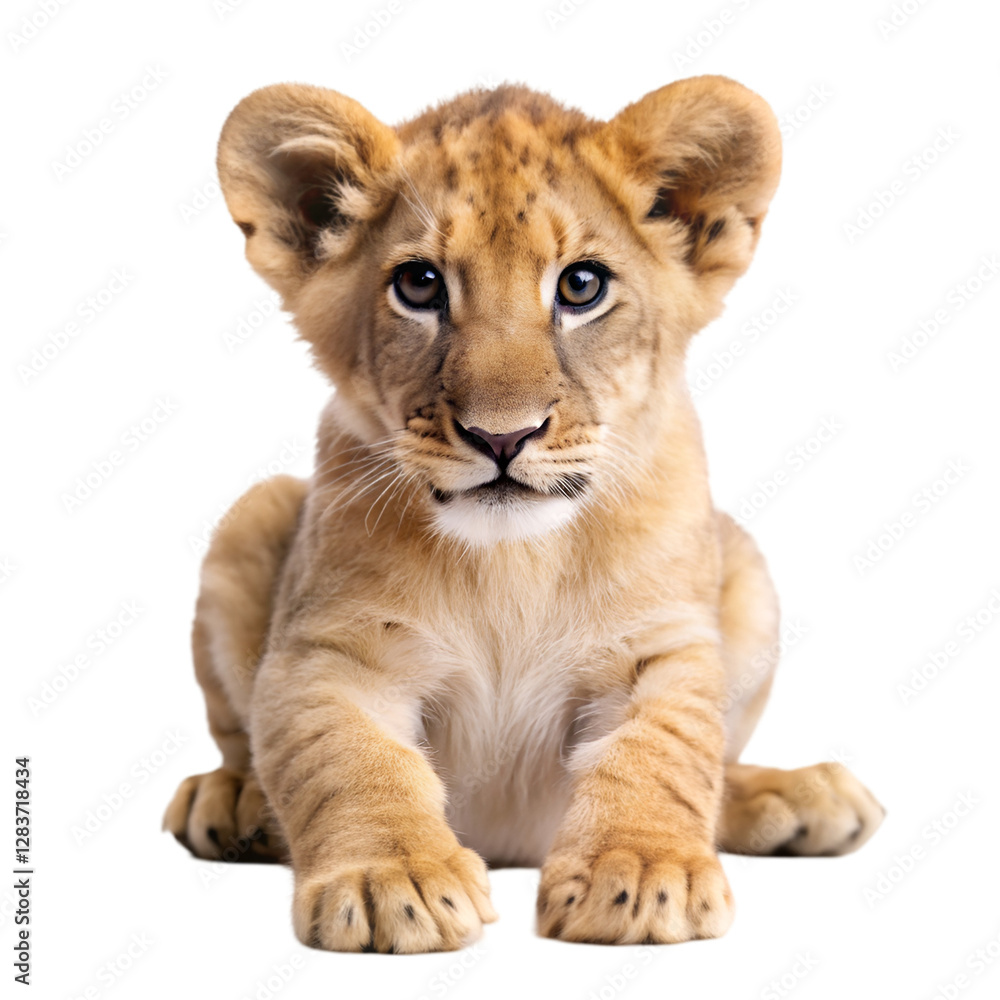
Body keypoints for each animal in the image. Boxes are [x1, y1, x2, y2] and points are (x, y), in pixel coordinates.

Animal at [164, 76, 884, 952]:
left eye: (581, 286)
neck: (516, 560)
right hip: (254, 514)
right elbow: (349, 759)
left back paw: (800, 797)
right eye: (420, 284)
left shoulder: (662, 644)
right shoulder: (329, 651)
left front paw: (641, 872)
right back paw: (233, 802)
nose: (501, 436)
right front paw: (390, 880)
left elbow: (664, 749)